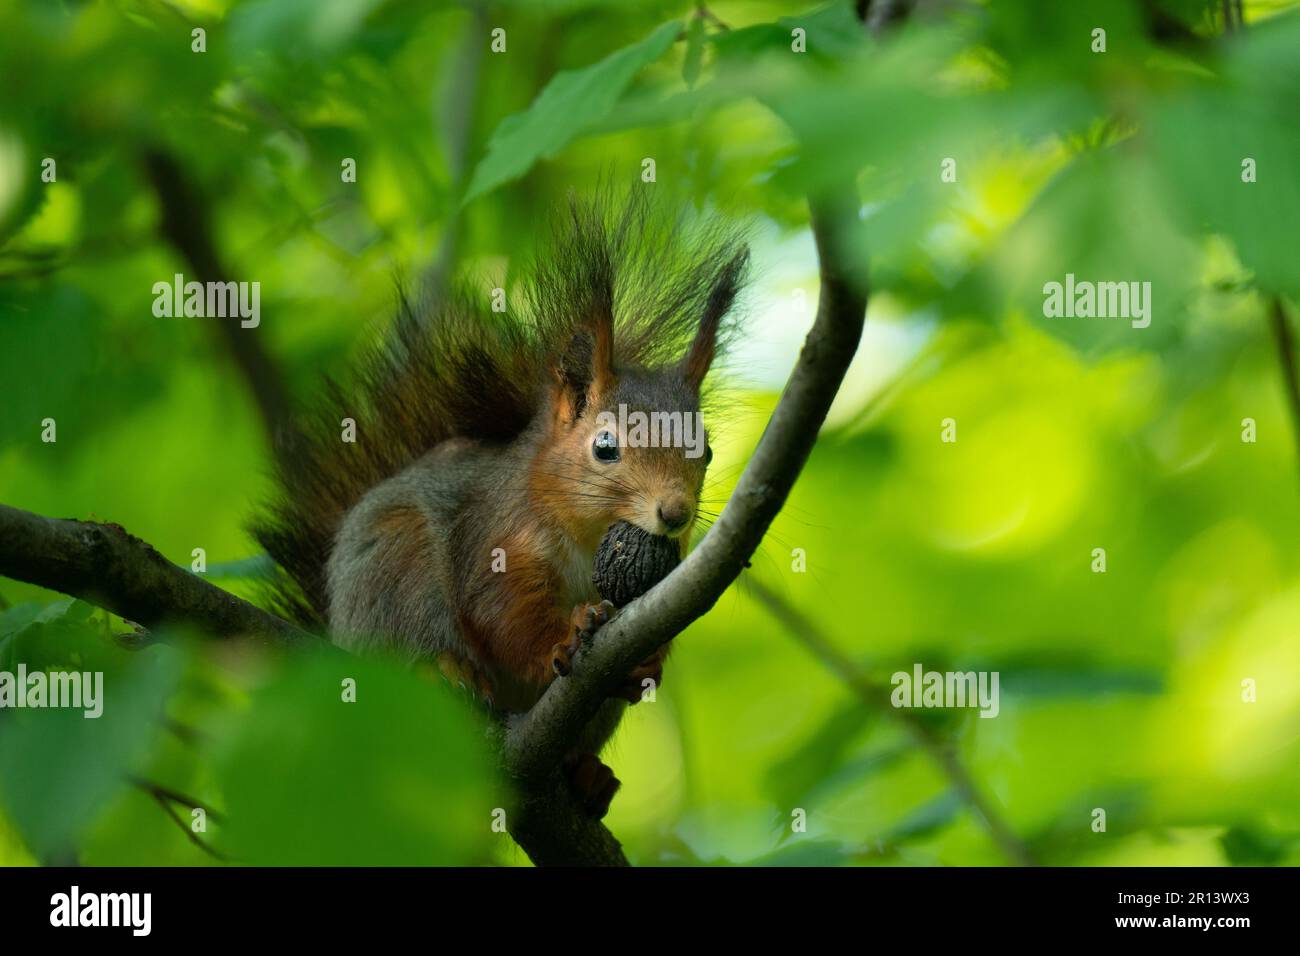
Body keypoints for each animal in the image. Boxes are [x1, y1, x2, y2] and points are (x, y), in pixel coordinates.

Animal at [253, 193, 748, 818]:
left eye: (706, 449)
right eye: (605, 447)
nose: (675, 514)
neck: (591, 536)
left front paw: (648, 664)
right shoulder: (496, 536)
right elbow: (501, 614)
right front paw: (564, 635)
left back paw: (585, 774)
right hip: (395, 575)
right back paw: (441, 670)